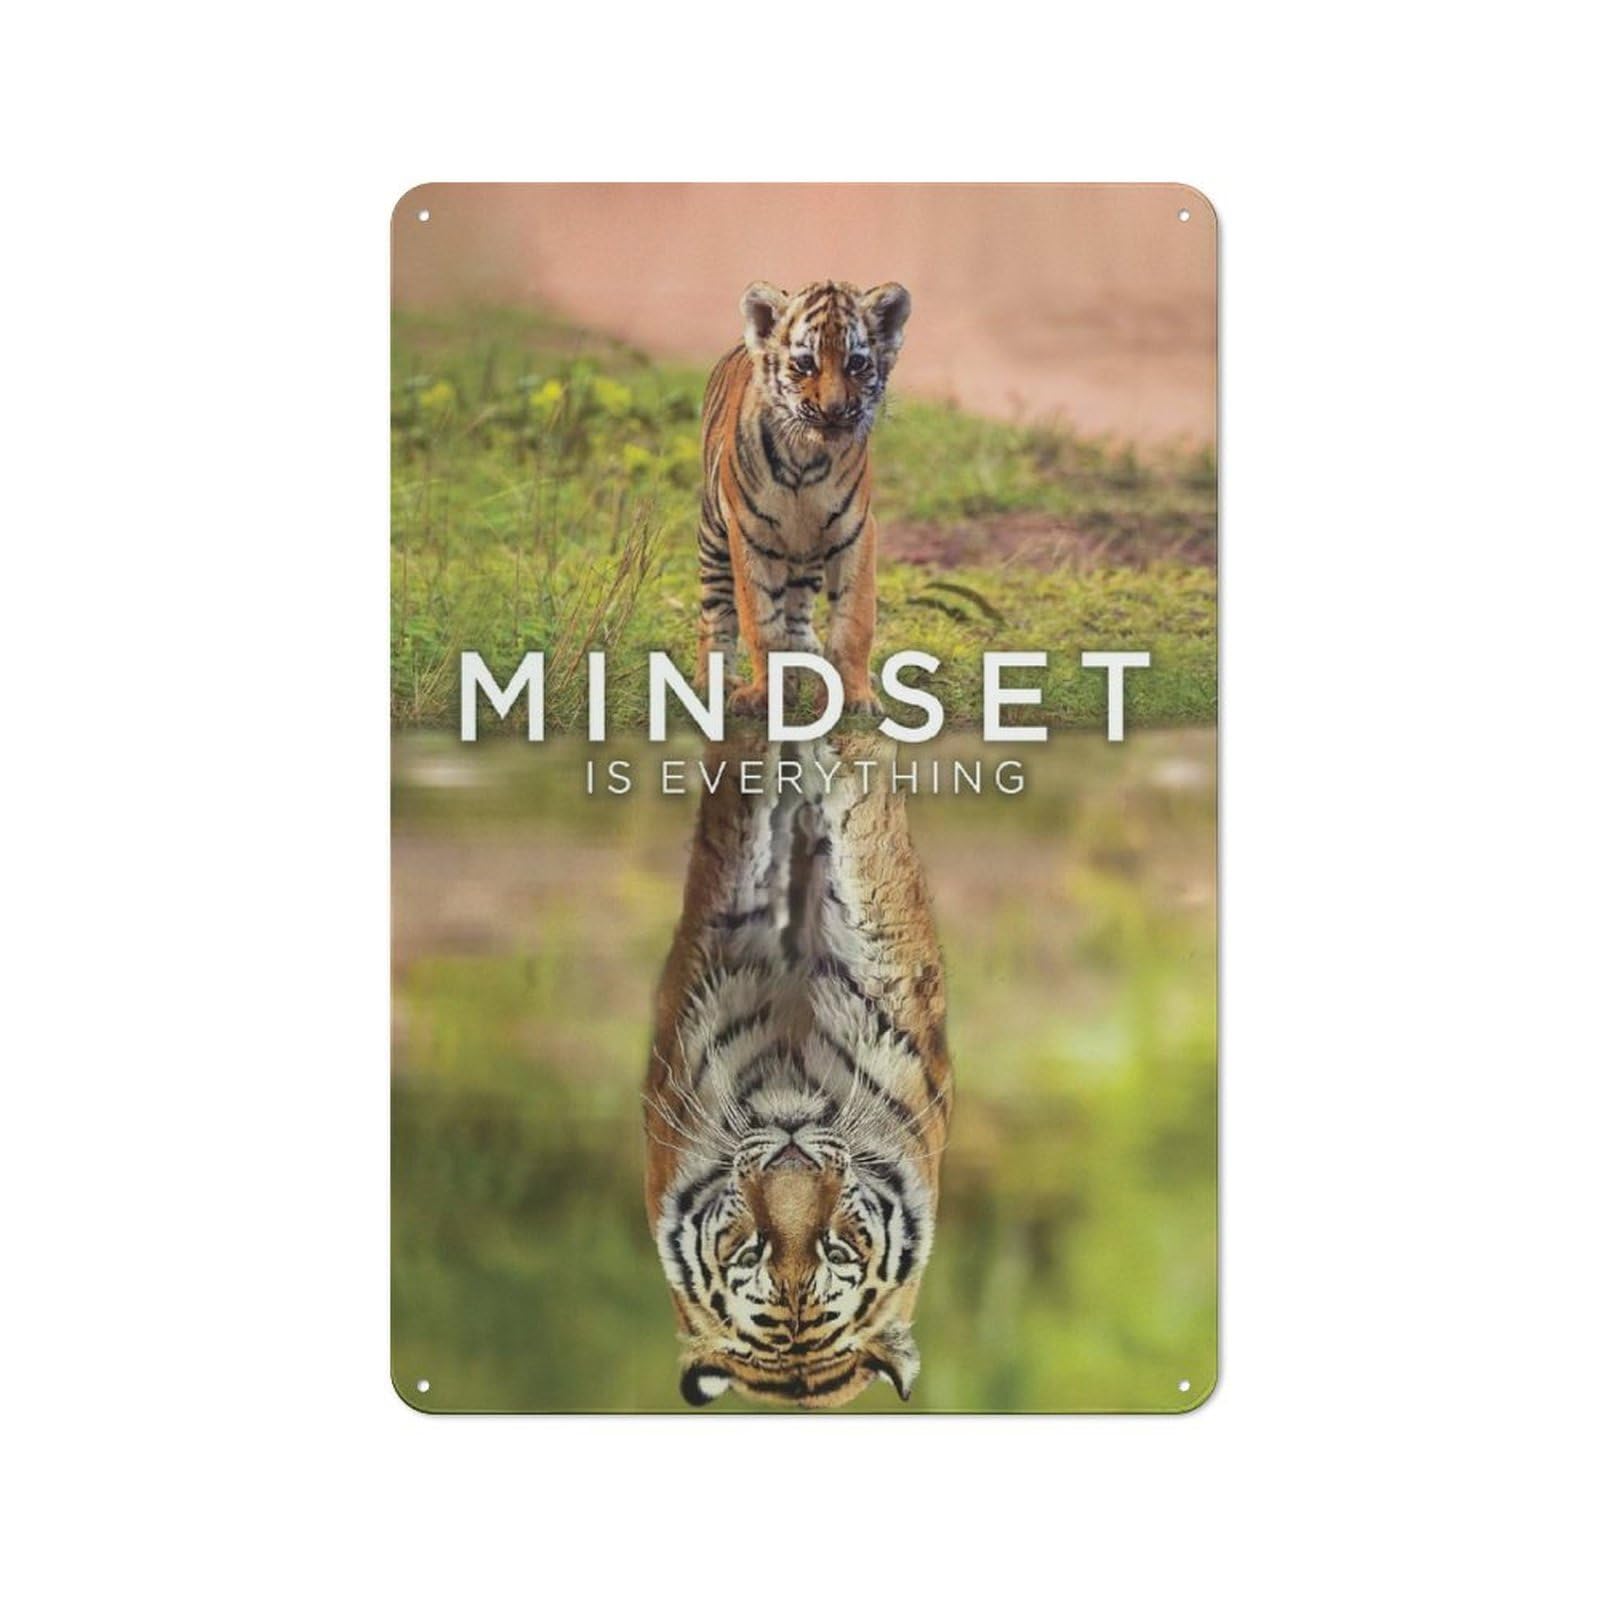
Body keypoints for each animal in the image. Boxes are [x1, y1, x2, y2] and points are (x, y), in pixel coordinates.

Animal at [696, 279, 912, 719]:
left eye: (857, 363)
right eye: (805, 364)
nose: (833, 410)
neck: (805, 457)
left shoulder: (855, 532)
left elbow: (853, 623)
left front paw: (858, 698)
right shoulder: (750, 535)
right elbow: (761, 623)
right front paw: (764, 695)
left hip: (806, 557)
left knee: (796, 615)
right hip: (714, 540)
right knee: (716, 615)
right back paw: (710, 683)